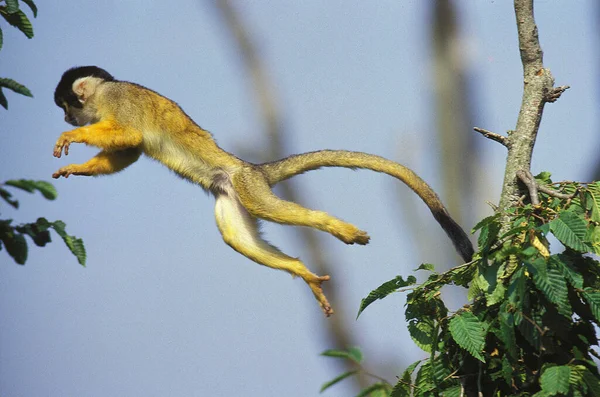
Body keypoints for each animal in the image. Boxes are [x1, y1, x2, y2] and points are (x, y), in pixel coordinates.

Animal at [51, 66, 474, 318]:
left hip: (246, 187)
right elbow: (129, 151)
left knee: (266, 209)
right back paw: (301, 270)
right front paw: (75, 166)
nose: (67, 118)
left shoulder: (117, 100)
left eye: (67, 106)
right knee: (235, 237)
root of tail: (251, 167)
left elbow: (131, 136)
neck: (103, 94)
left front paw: (72, 137)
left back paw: (336, 228)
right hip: (229, 196)